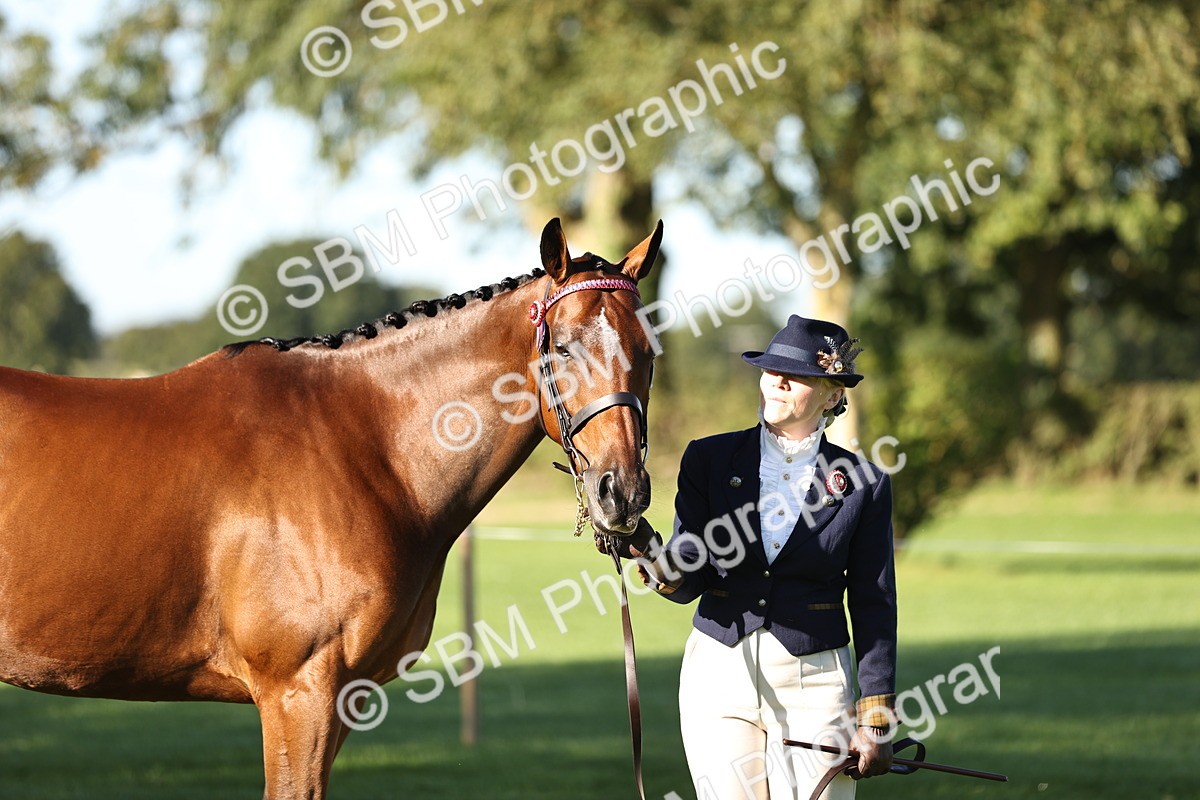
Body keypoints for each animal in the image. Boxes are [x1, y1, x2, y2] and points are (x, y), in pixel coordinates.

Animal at [0, 217, 662, 799]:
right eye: (566, 349)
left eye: (648, 351)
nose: (622, 492)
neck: (362, 444)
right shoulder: (299, 693)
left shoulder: (344, 696)